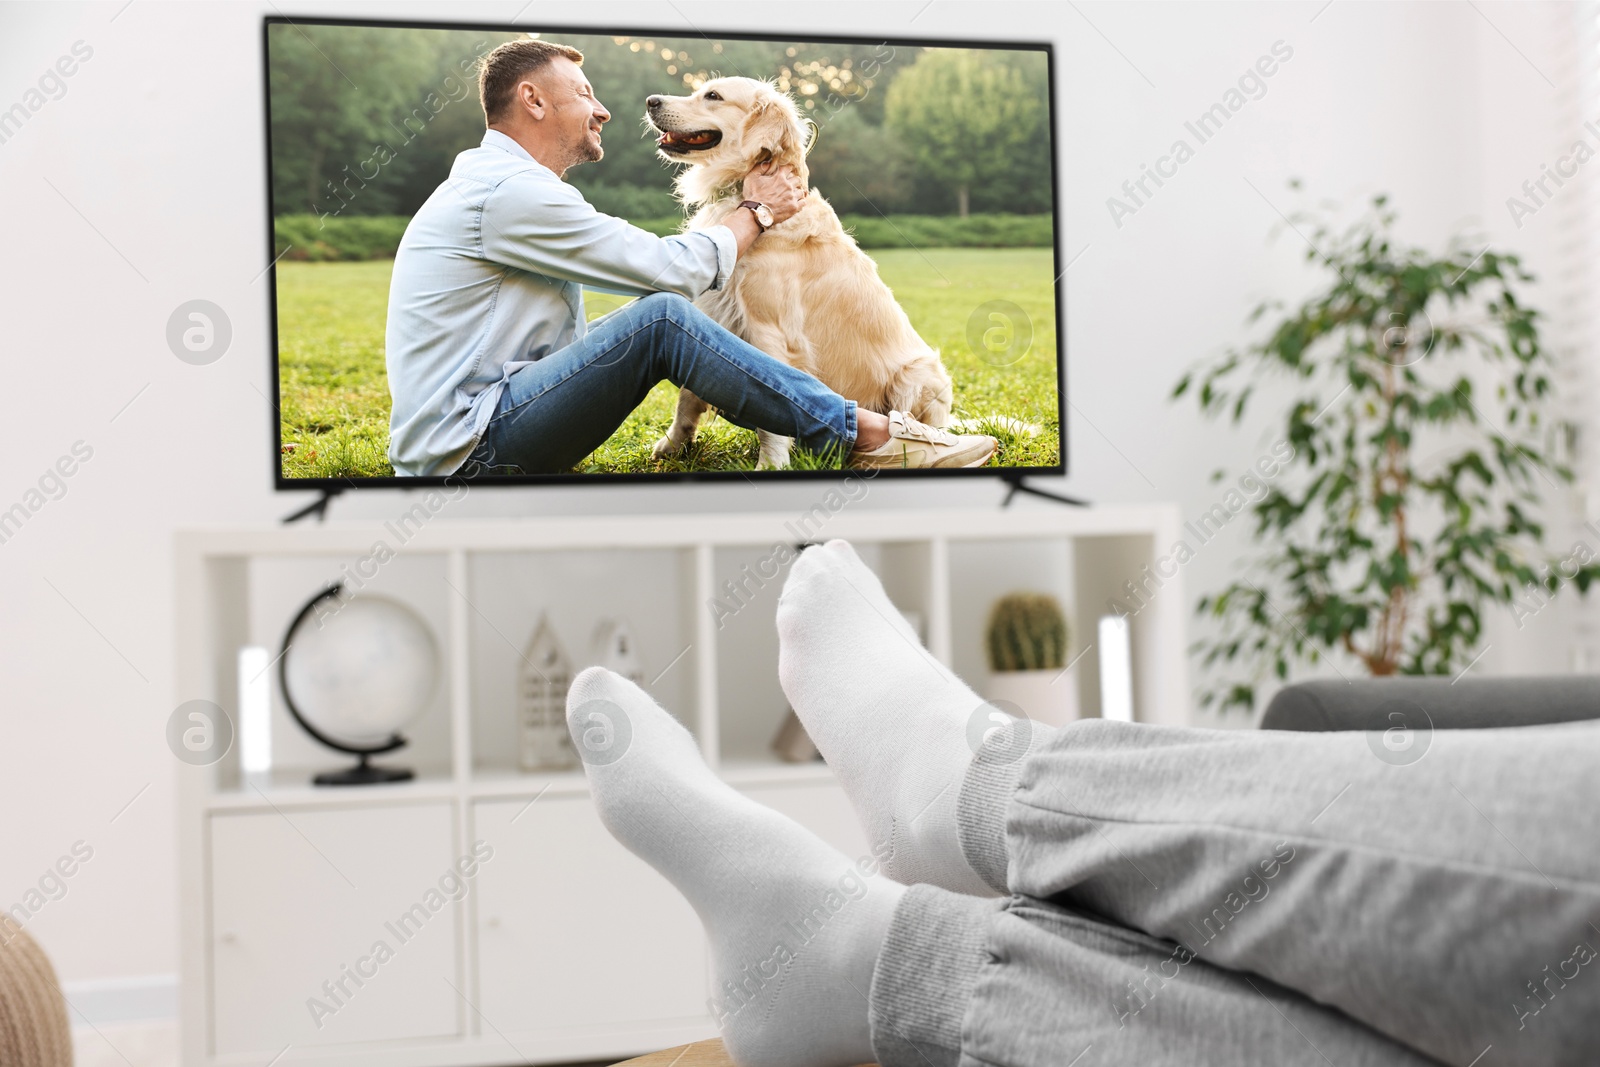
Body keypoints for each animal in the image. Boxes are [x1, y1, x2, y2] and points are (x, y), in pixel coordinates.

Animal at [646, 77, 953, 470]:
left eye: (713, 96)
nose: (651, 100)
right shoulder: (711, 317)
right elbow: (687, 395)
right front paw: (673, 445)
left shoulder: (772, 332)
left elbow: (772, 410)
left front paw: (770, 464)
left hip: (919, 374)